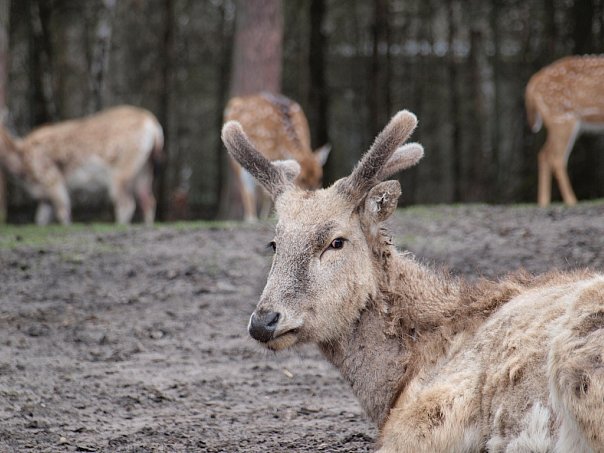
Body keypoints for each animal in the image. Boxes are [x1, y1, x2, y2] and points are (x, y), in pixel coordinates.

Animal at [0, 104, 163, 224]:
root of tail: (154, 126)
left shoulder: (52, 180)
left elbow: (63, 213)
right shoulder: (44, 196)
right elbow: (41, 219)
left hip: (122, 170)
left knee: (126, 204)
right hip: (145, 168)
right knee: (148, 200)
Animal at [524, 53, 604, 207]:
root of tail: (533, 82)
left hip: (560, 122)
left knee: (544, 153)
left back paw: (544, 203)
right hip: (562, 117)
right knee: (556, 157)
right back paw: (572, 201)